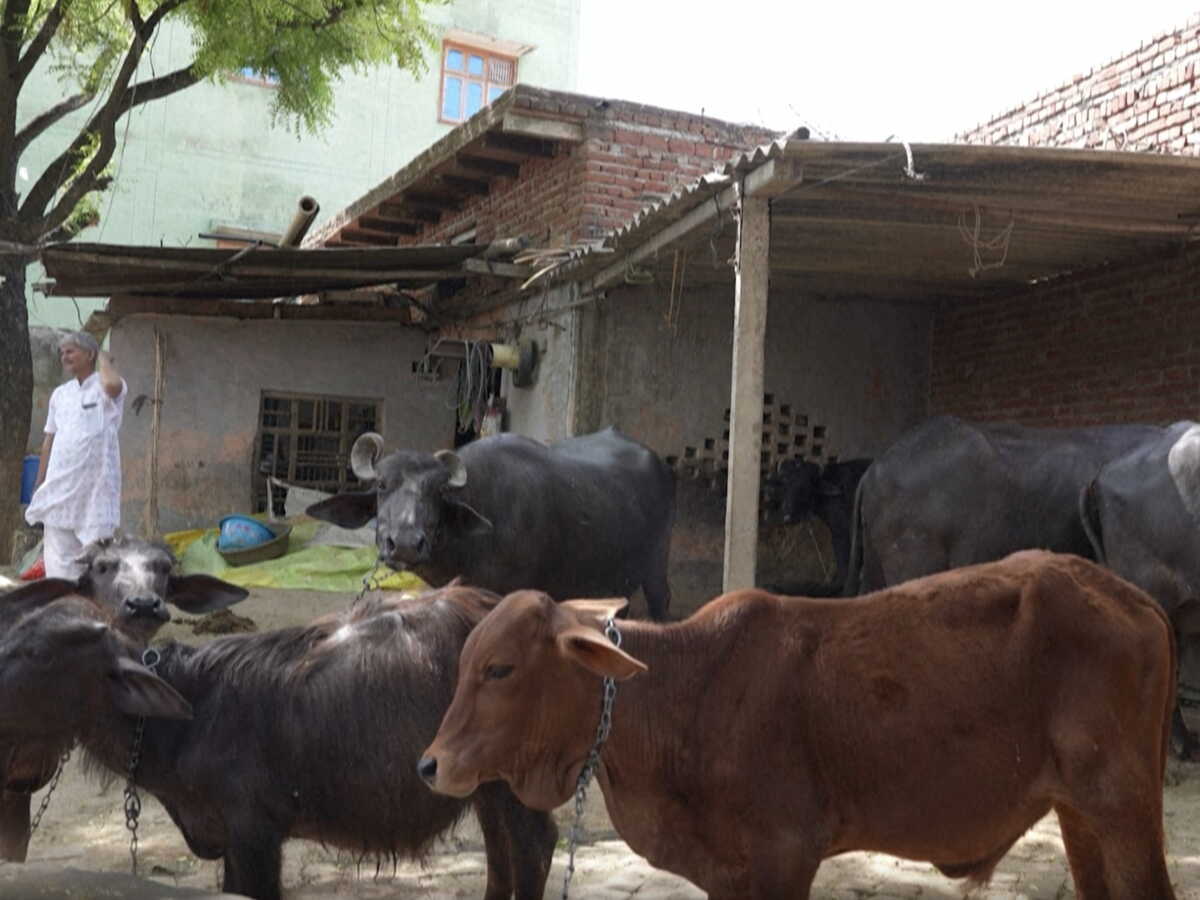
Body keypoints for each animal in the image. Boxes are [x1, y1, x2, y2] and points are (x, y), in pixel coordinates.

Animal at [0, 581, 557, 900]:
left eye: (41, 653)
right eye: (18, 631)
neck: (191, 716)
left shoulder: (255, 835)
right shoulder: (229, 837)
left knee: (534, 846)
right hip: (482, 785)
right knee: (501, 852)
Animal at [419, 551, 1177, 900]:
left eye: (499, 669)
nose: (430, 764)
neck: (684, 696)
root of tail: (1133, 598)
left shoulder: (786, 855)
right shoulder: (728, 875)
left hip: (1124, 808)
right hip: (1079, 814)